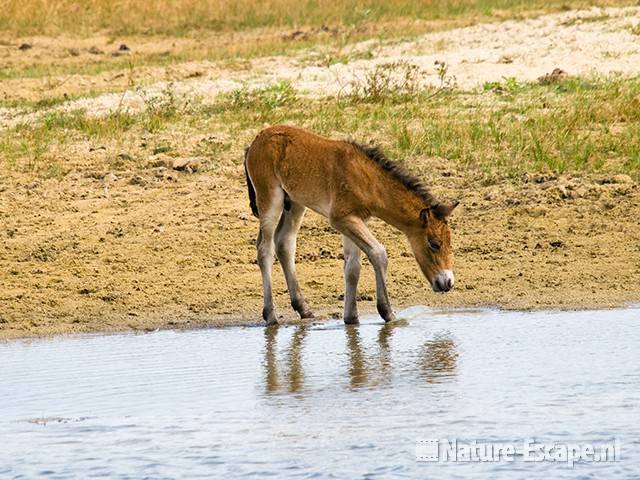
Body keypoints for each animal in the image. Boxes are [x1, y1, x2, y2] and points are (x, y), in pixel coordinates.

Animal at [242, 124, 458, 326]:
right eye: (434, 244)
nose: (447, 282)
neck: (368, 180)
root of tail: (255, 140)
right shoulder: (342, 219)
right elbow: (378, 253)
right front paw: (387, 312)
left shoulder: (355, 220)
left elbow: (353, 267)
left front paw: (351, 317)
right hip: (270, 198)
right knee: (265, 250)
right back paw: (271, 316)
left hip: (295, 203)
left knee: (284, 244)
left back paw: (304, 309)